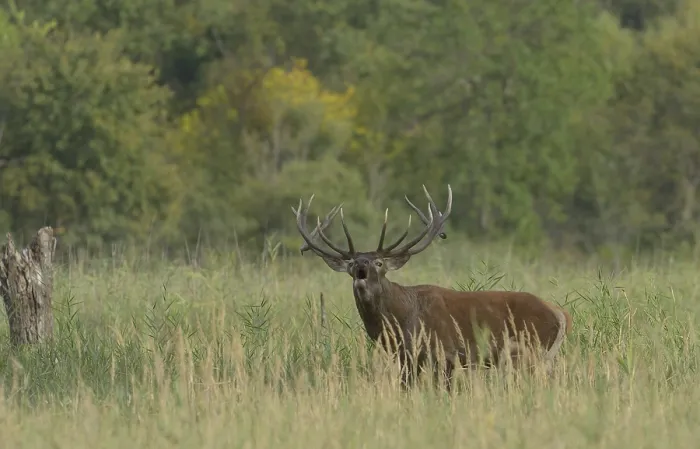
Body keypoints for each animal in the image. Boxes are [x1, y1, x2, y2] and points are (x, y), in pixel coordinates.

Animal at [292, 185, 572, 389]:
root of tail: (560, 313)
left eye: (379, 262)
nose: (361, 263)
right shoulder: (406, 359)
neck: (399, 323)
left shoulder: (443, 354)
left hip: (530, 352)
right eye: (350, 263)